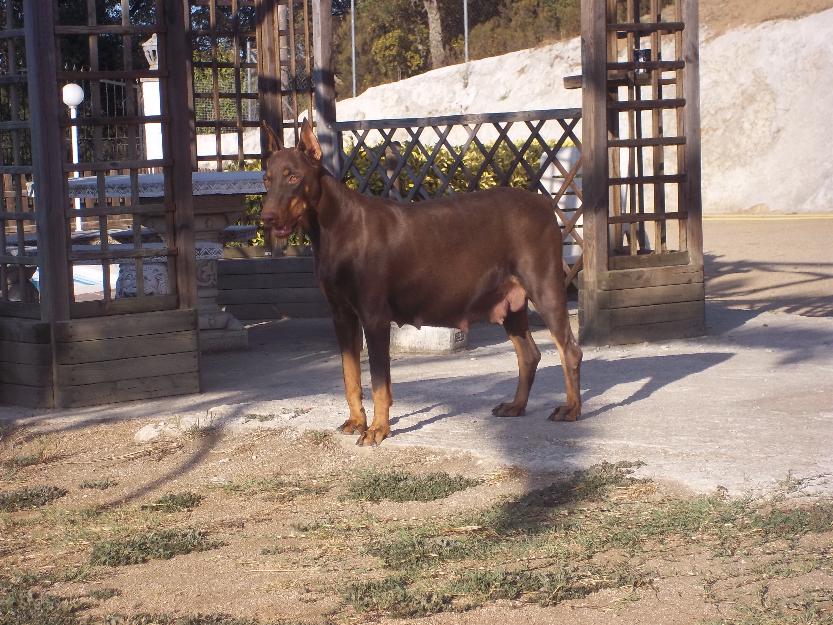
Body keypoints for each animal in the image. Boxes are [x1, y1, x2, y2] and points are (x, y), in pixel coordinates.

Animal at [264, 120, 580, 444]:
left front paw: (378, 429)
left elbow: (379, 380)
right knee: (528, 355)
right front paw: (357, 421)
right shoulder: (341, 315)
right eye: (267, 178)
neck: (334, 228)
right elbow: (349, 374)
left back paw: (571, 409)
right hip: (510, 302)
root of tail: (544, 202)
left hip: (545, 289)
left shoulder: (374, 318)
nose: (267, 217)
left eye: (294, 177)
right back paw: (516, 405)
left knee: (570, 350)